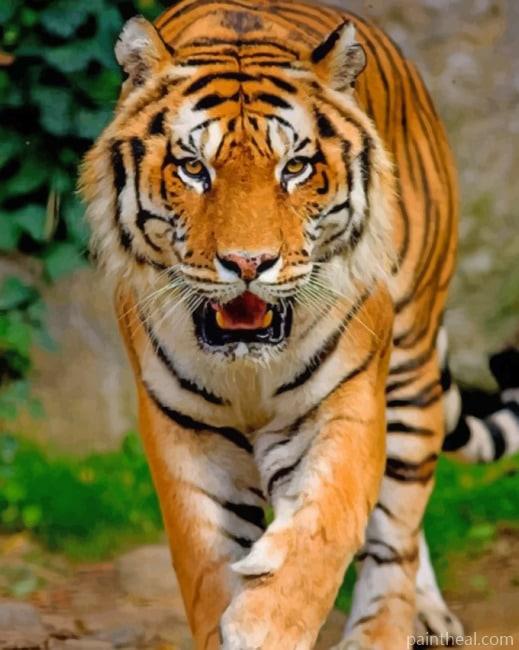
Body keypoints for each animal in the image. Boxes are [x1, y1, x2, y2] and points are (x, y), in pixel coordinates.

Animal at [79, 0, 519, 648]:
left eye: (296, 167)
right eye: (193, 168)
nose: (248, 263)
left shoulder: (345, 403)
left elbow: (324, 532)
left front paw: (263, 623)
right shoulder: (184, 431)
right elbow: (206, 565)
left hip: (410, 370)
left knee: (397, 532)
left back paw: (400, 622)